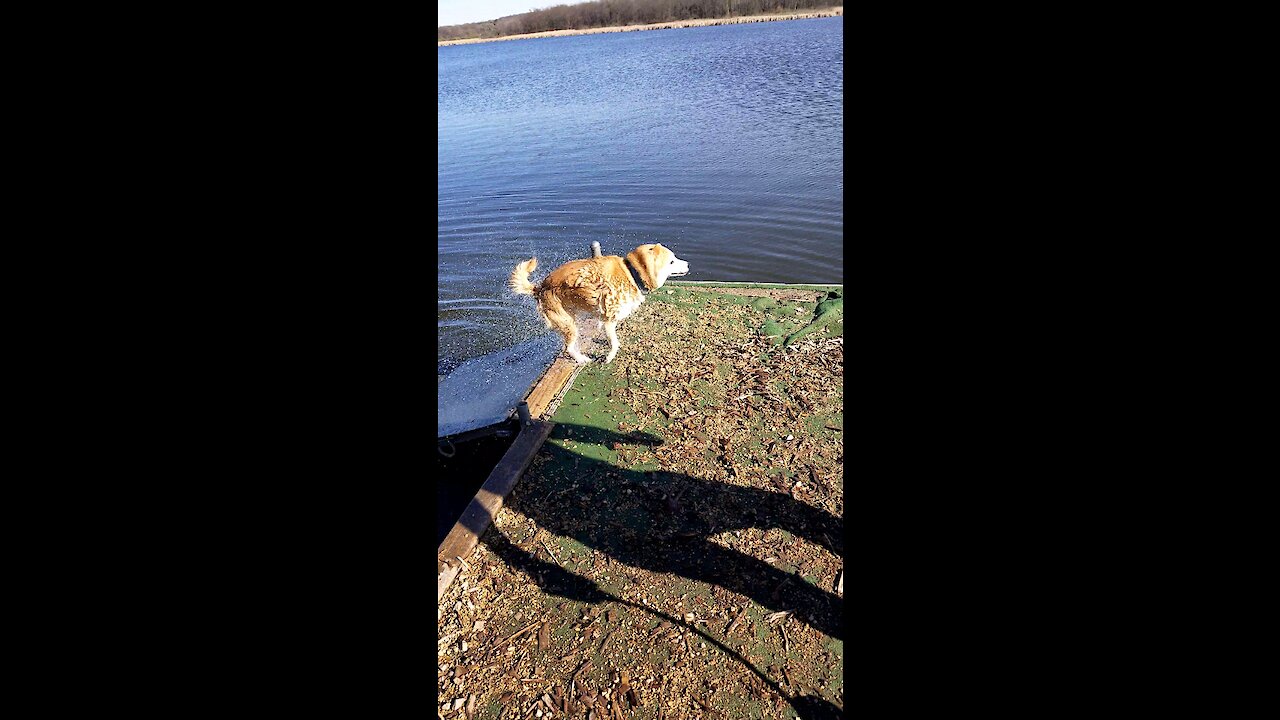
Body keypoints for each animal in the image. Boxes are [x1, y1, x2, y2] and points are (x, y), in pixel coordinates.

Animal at [509, 242, 691, 363]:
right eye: (672, 262)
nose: (688, 264)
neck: (632, 274)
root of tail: (540, 288)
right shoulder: (609, 319)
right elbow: (614, 343)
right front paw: (609, 357)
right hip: (568, 325)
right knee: (568, 348)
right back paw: (582, 359)